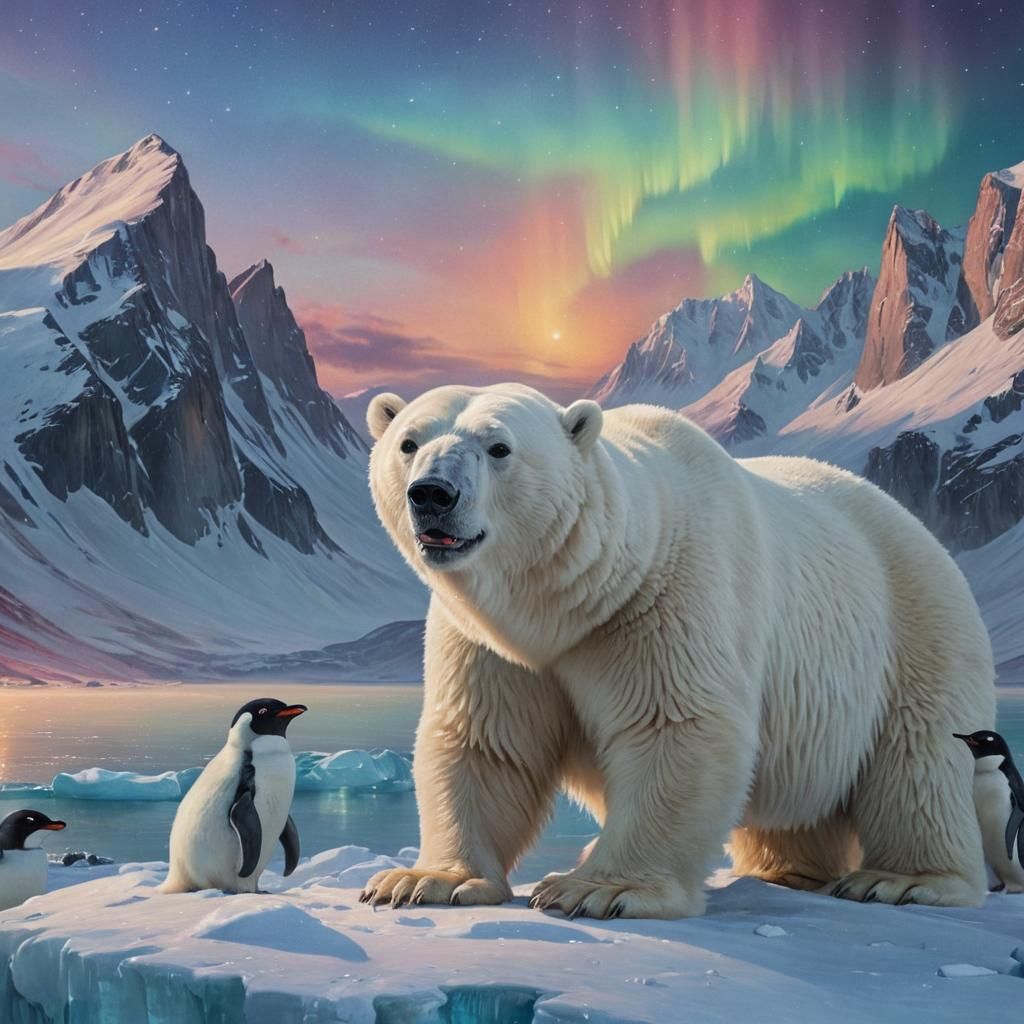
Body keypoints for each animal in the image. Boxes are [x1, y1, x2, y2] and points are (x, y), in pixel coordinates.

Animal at [361, 383, 996, 919]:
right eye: (408, 442)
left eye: (499, 447)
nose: (432, 494)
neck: (571, 600)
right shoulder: (488, 641)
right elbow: (485, 740)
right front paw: (423, 880)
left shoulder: (666, 597)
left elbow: (672, 725)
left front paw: (596, 889)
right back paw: (785, 872)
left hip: (914, 627)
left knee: (918, 758)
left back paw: (901, 879)